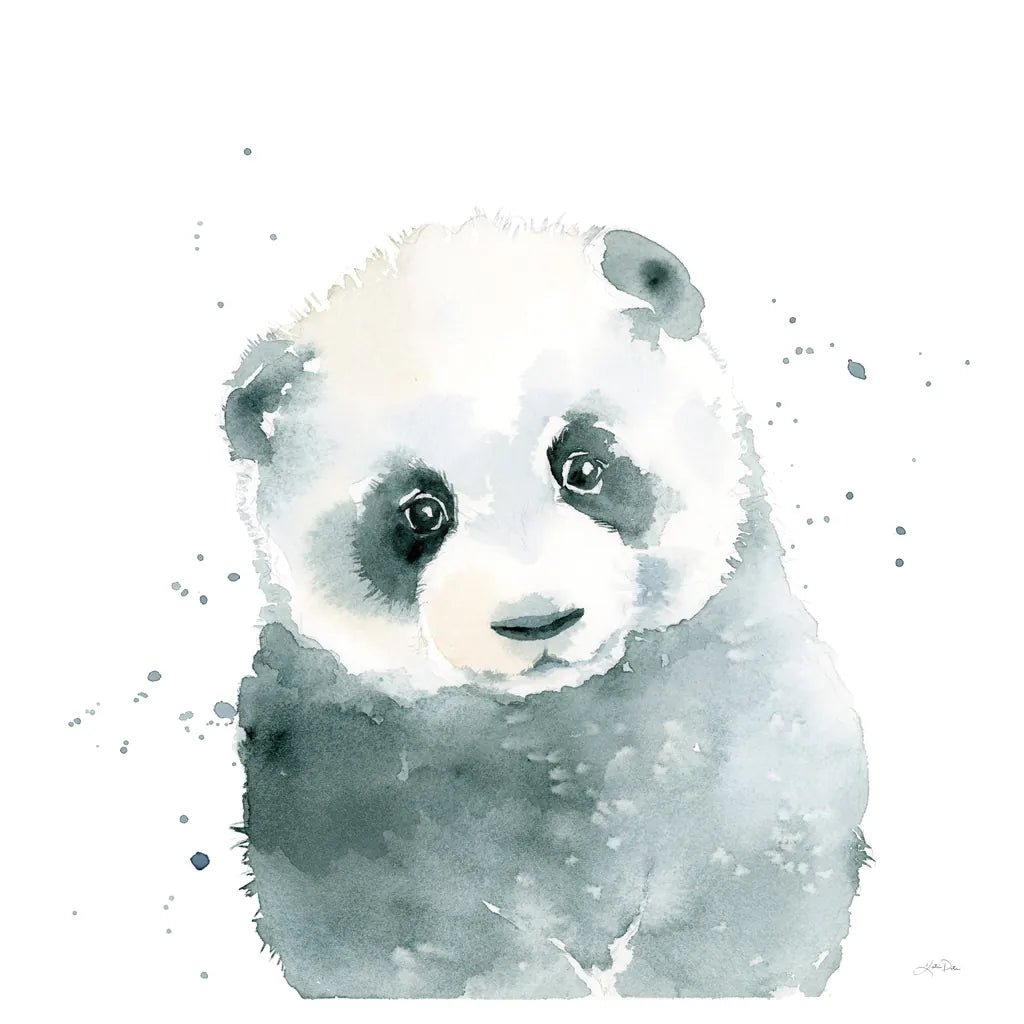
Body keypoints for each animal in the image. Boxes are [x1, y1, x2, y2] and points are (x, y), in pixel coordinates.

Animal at [224, 215, 869, 999]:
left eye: (583, 466)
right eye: (421, 511)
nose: (538, 621)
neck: (552, 724)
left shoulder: (736, 689)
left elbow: (758, 873)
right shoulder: (330, 761)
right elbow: (384, 929)